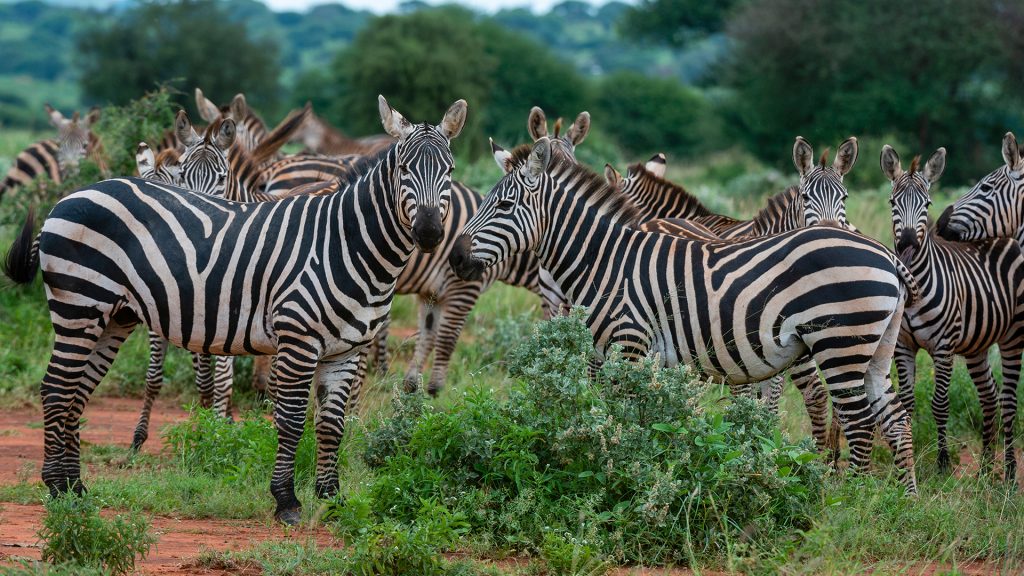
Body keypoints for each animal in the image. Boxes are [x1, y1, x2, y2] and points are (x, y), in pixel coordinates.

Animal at [1, 96, 468, 522]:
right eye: (404, 169)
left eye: (449, 172)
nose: (430, 233)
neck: (347, 244)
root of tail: (69, 197)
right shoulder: (298, 340)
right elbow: (291, 419)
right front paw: (286, 500)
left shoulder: (347, 351)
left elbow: (331, 424)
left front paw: (332, 498)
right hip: (80, 305)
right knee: (56, 388)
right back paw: (56, 486)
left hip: (113, 316)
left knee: (77, 391)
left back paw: (75, 486)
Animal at [452, 136, 917, 491]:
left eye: (505, 206)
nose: (455, 258)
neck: (605, 260)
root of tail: (888, 256)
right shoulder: (609, 355)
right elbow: (613, 418)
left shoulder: (629, 345)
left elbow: (624, 420)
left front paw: (620, 479)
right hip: (876, 348)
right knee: (894, 418)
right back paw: (902, 500)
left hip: (839, 343)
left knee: (859, 421)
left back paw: (847, 498)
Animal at [892, 145, 1019, 477]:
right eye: (893, 203)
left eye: (927, 203)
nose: (907, 242)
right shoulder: (902, 346)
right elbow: (907, 403)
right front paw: (909, 459)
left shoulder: (943, 346)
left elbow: (939, 404)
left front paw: (942, 462)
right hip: (977, 344)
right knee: (989, 395)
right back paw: (986, 466)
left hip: (1013, 337)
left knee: (1008, 398)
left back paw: (1009, 470)